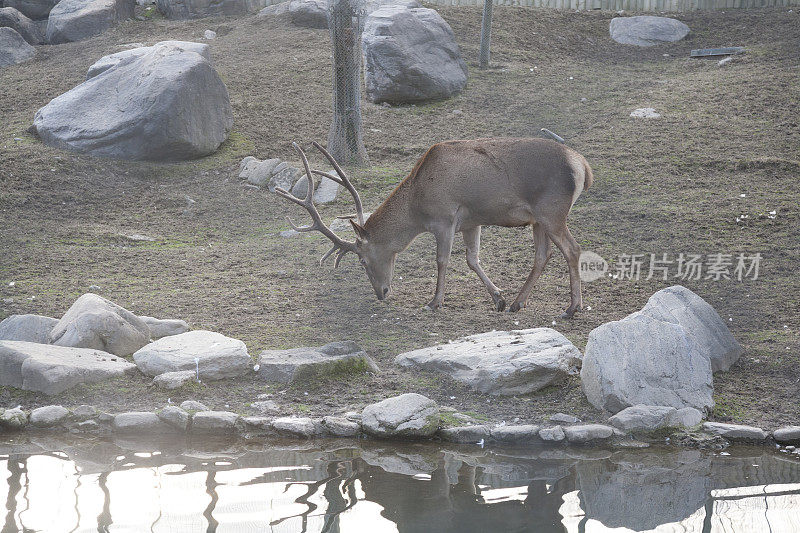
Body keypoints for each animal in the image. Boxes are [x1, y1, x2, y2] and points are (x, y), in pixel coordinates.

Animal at [276, 137, 592, 316]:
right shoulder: (471, 221)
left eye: (363, 261)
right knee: (543, 256)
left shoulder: (444, 218)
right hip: (538, 219)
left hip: (552, 211)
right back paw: (517, 303)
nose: (381, 293)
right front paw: (498, 298)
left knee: (573, 250)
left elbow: (442, 261)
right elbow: (472, 259)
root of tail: (584, 166)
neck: (418, 204)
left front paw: (434, 302)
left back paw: (572, 308)